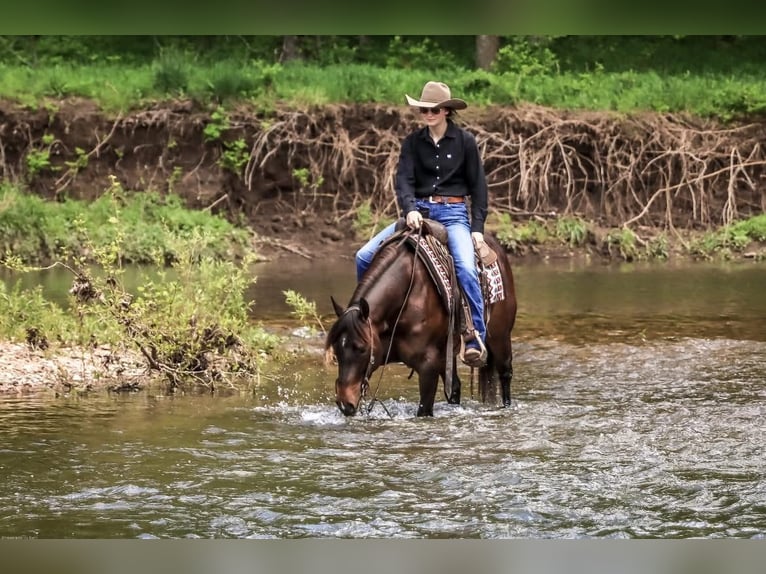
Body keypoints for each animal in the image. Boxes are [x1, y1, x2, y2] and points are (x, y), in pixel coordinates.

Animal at [326, 220, 517, 417]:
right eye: (336, 349)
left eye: (362, 349)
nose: (344, 404)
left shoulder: (428, 366)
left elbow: (424, 410)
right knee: (455, 387)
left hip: (500, 337)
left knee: (505, 374)